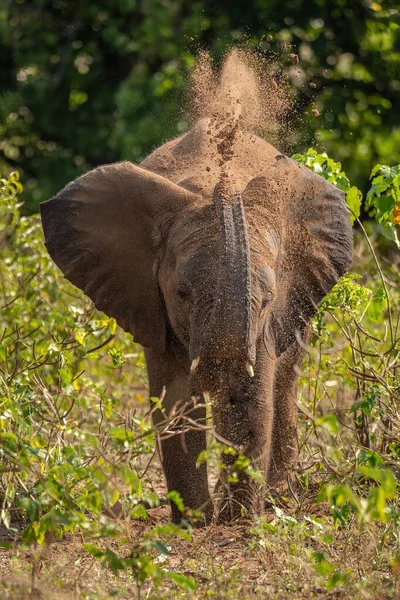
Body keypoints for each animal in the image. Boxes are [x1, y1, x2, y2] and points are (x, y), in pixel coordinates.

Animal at [40, 62, 354, 524]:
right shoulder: (153, 306)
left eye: (267, 299)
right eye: (182, 293)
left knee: (284, 384)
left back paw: (277, 495)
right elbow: (174, 402)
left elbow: (254, 401)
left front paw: (239, 521)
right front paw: (195, 523)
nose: (226, 184)